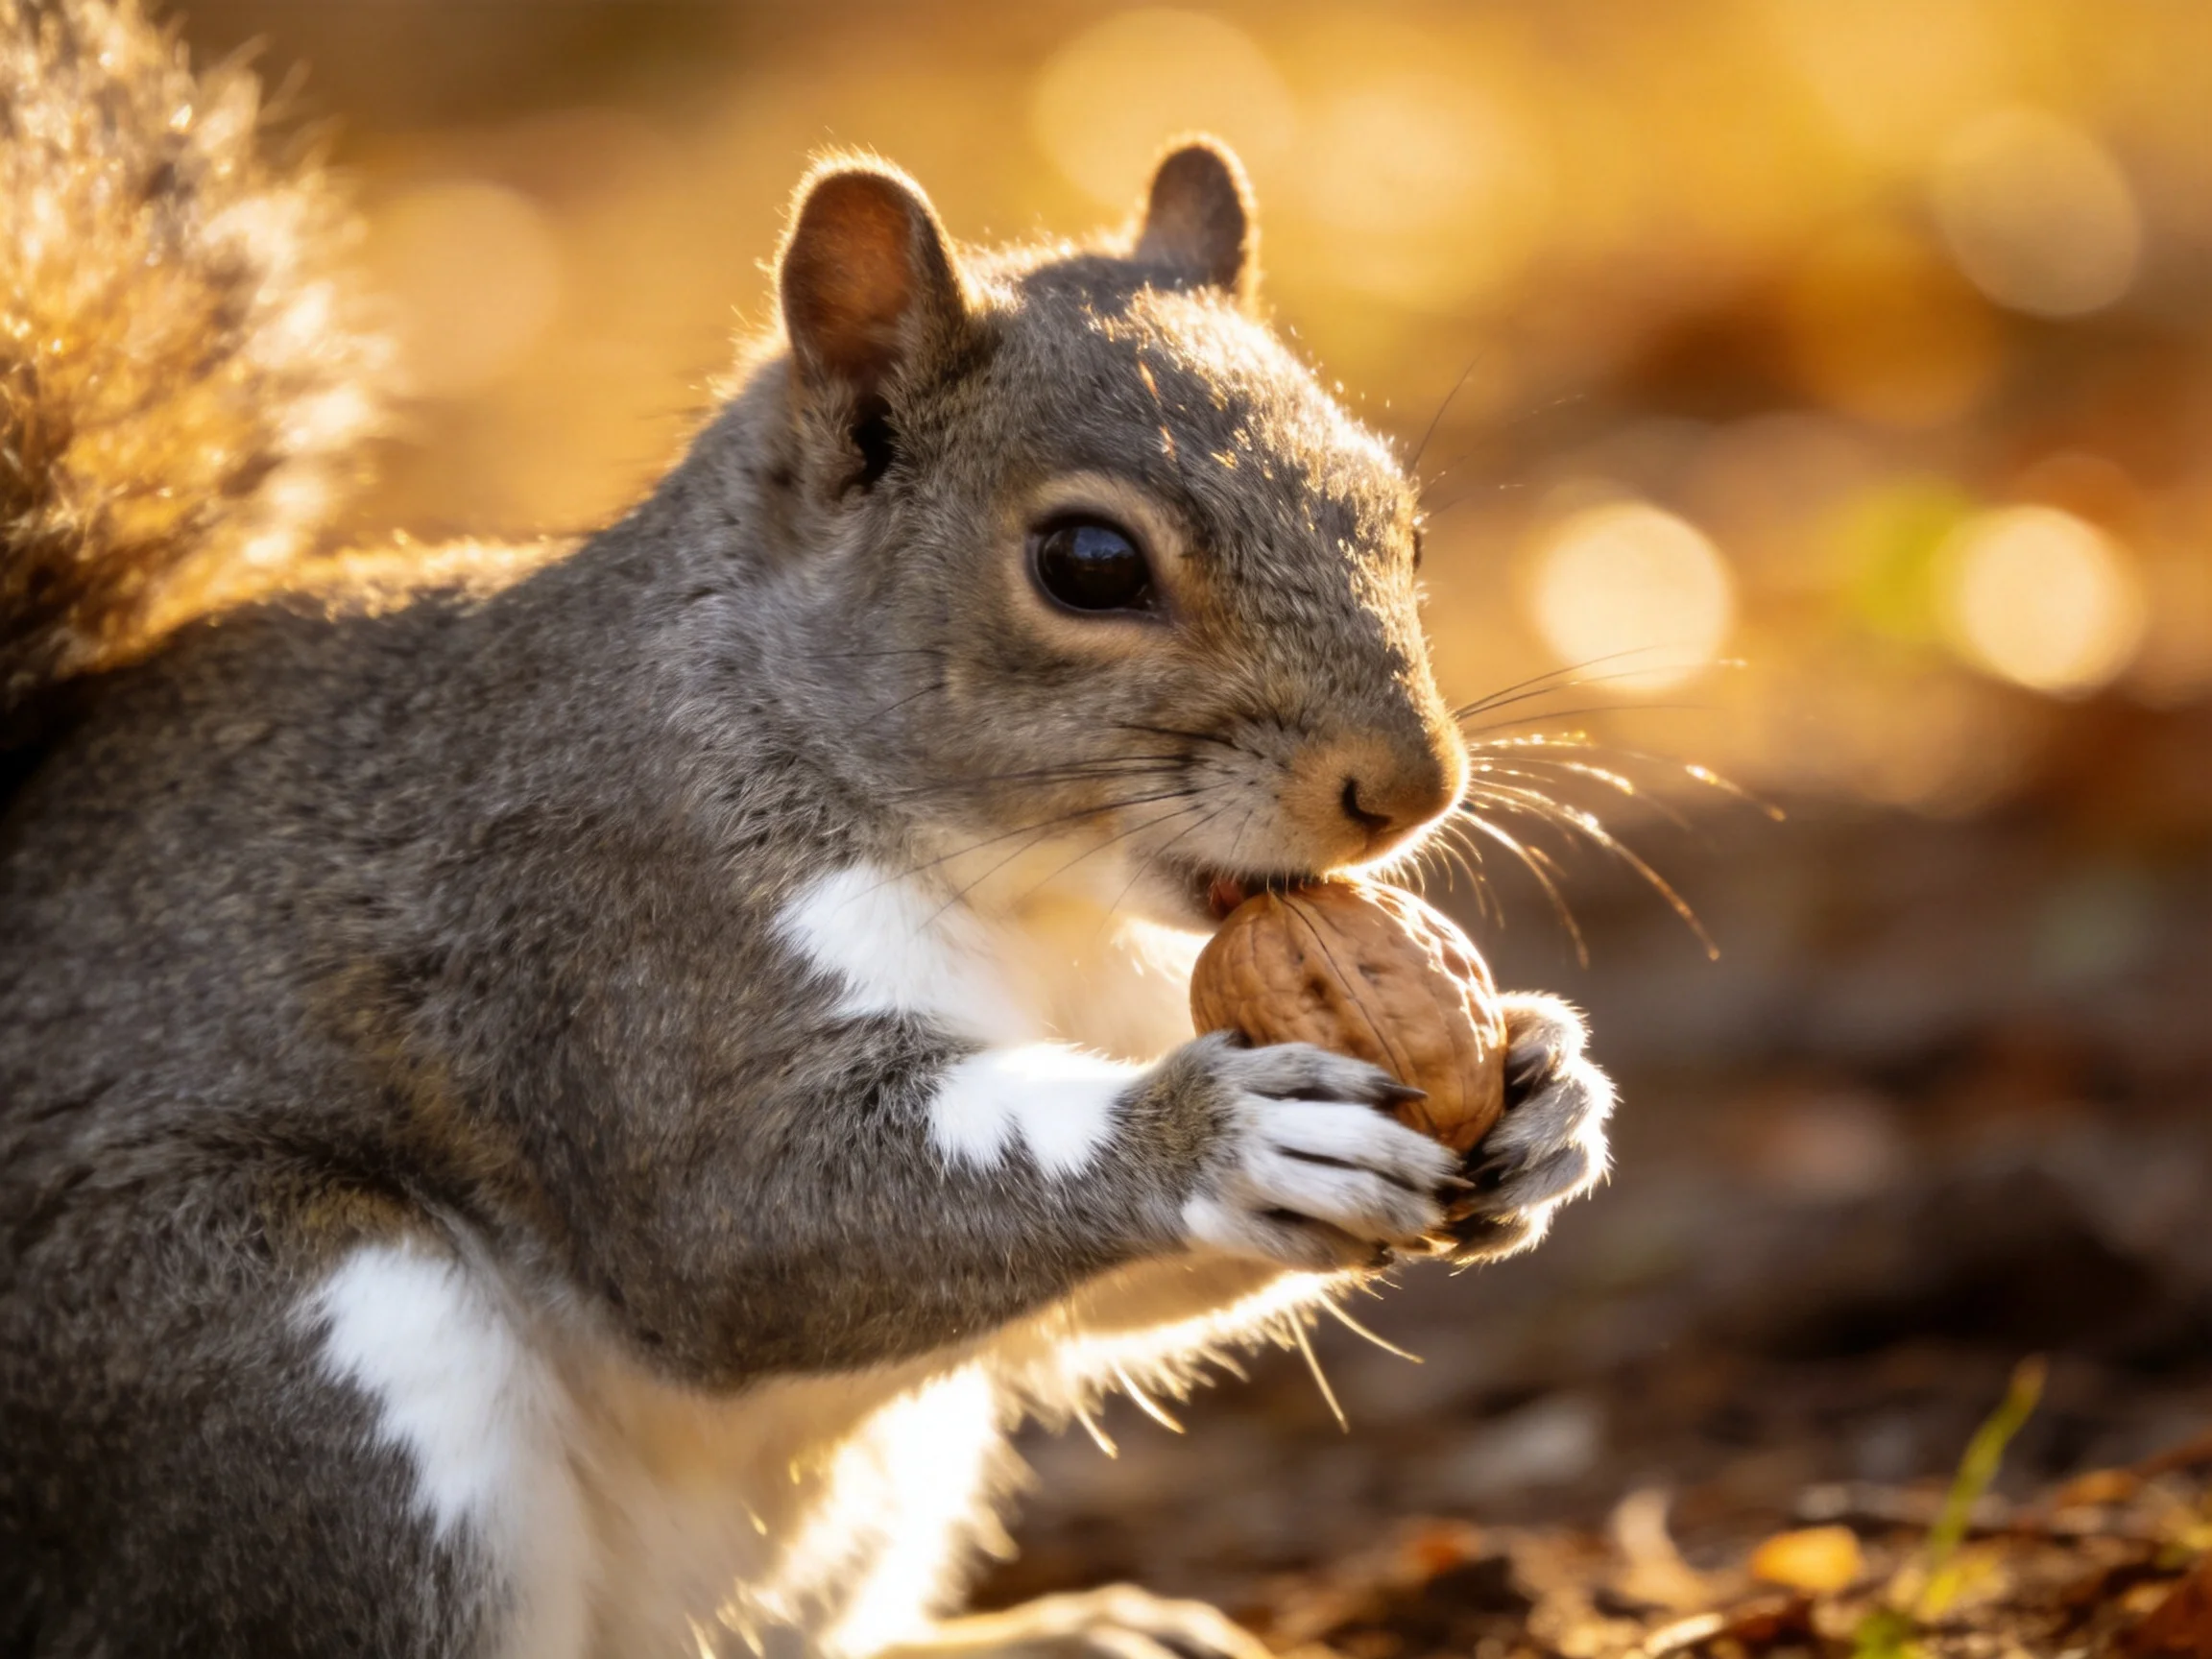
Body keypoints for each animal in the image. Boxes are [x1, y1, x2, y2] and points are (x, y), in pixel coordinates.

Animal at [0, 2, 1615, 1655]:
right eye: (1088, 561)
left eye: (1402, 521)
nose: (1413, 787)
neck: (1030, 892)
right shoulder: (605, 929)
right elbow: (739, 1226)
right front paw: (1225, 1135)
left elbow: (1092, 1306)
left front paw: (1549, 1089)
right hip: (290, 1360)